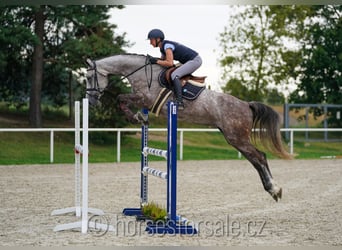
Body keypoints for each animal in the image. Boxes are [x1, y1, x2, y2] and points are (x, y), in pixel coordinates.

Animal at [84, 53, 290, 201]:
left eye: (88, 77)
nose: (92, 101)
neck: (141, 72)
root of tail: (246, 105)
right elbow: (122, 100)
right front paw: (140, 117)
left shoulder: (145, 99)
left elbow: (121, 98)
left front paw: (136, 118)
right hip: (233, 137)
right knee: (255, 159)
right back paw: (272, 189)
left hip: (236, 137)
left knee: (260, 156)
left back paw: (275, 189)